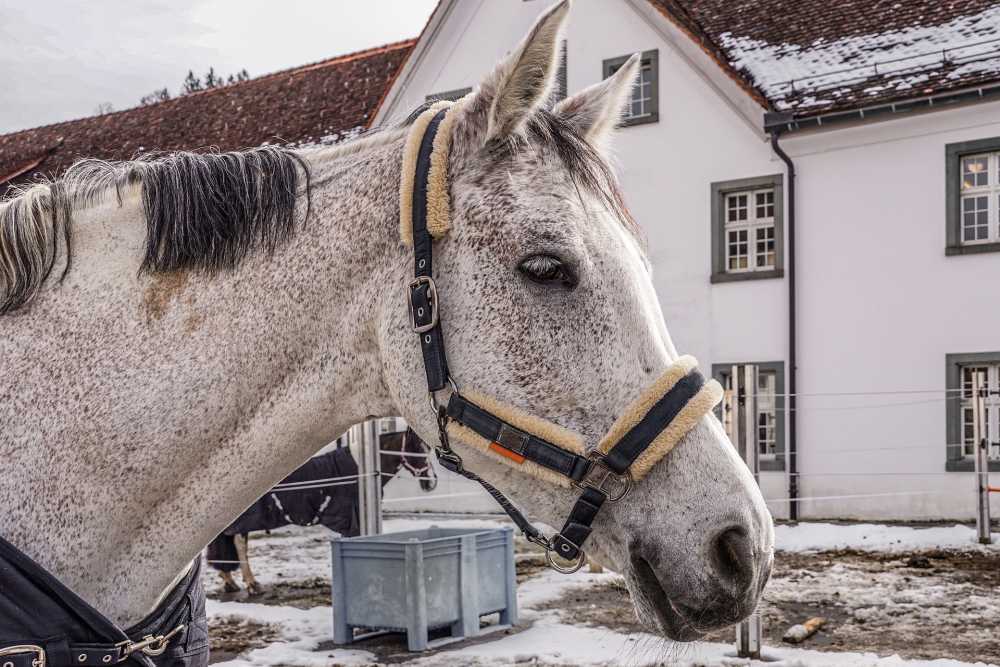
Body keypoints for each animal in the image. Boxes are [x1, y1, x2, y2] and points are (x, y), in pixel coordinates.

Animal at [207, 428, 434, 596]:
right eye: (416, 447)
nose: (431, 483)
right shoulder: (354, 520)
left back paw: (230, 581)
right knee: (239, 543)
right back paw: (251, 584)